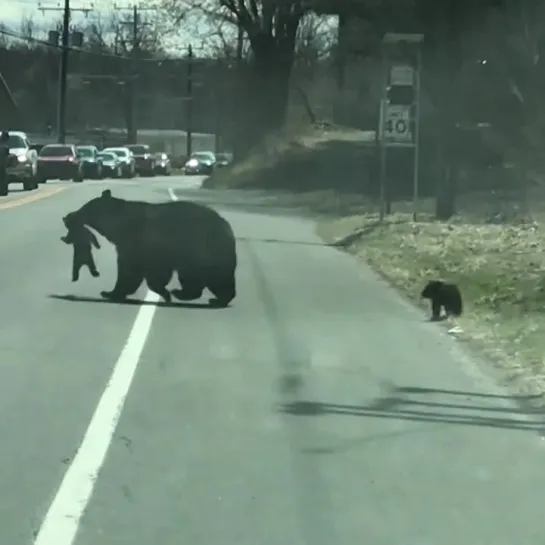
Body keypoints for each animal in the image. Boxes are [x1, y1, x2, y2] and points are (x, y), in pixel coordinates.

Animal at [62, 189, 236, 306]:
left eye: (85, 208)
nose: (67, 216)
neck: (120, 226)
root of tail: (228, 229)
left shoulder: (140, 243)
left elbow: (131, 271)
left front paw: (110, 292)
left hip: (199, 251)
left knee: (196, 277)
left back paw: (181, 293)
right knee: (220, 280)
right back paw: (219, 299)